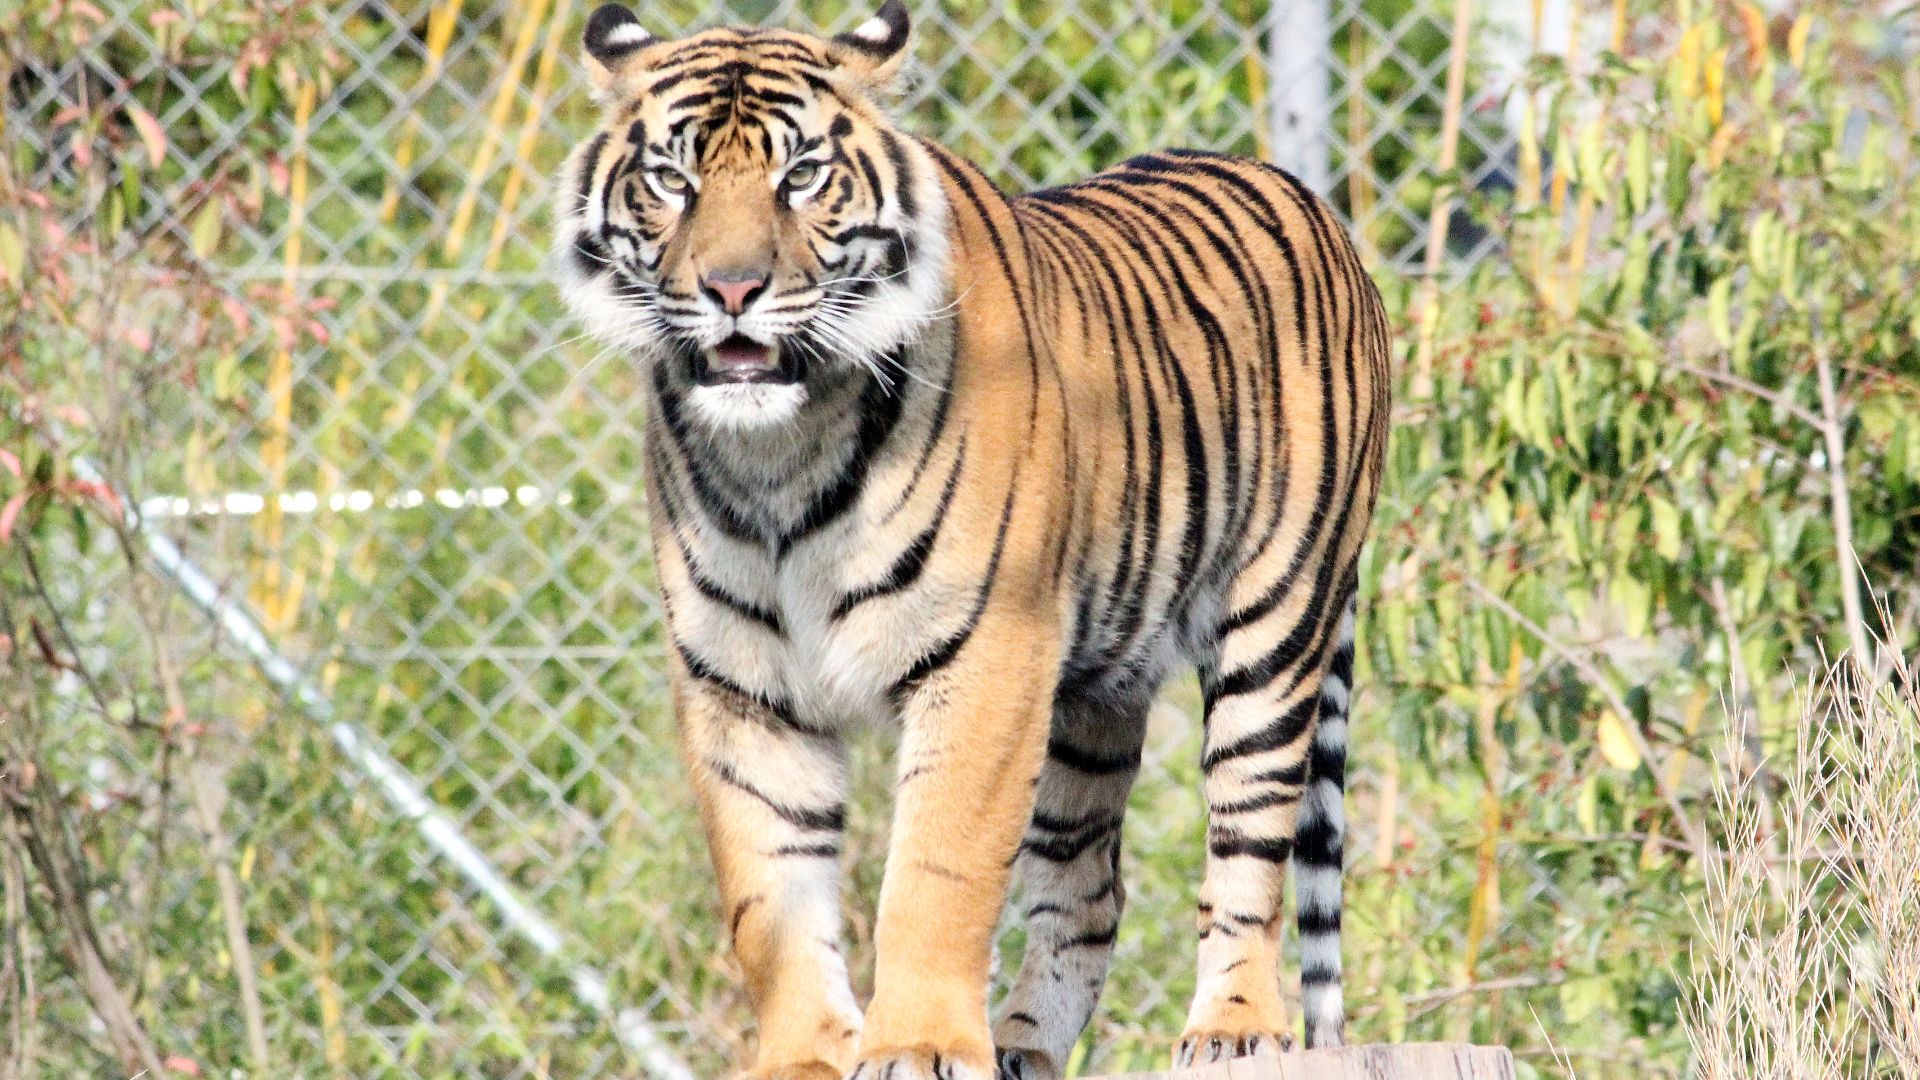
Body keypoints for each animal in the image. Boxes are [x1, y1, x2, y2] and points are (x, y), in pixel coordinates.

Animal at [552, 3, 1390, 1077]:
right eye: (672, 179)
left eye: (801, 175)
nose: (732, 289)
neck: (779, 452)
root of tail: (1304, 194)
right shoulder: (738, 683)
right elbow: (769, 894)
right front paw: (805, 1056)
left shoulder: (989, 652)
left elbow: (936, 872)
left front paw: (915, 1044)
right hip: (1094, 694)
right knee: (1090, 890)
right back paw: (1023, 1047)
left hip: (1278, 627)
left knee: (1250, 848)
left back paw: (1233, 1028)